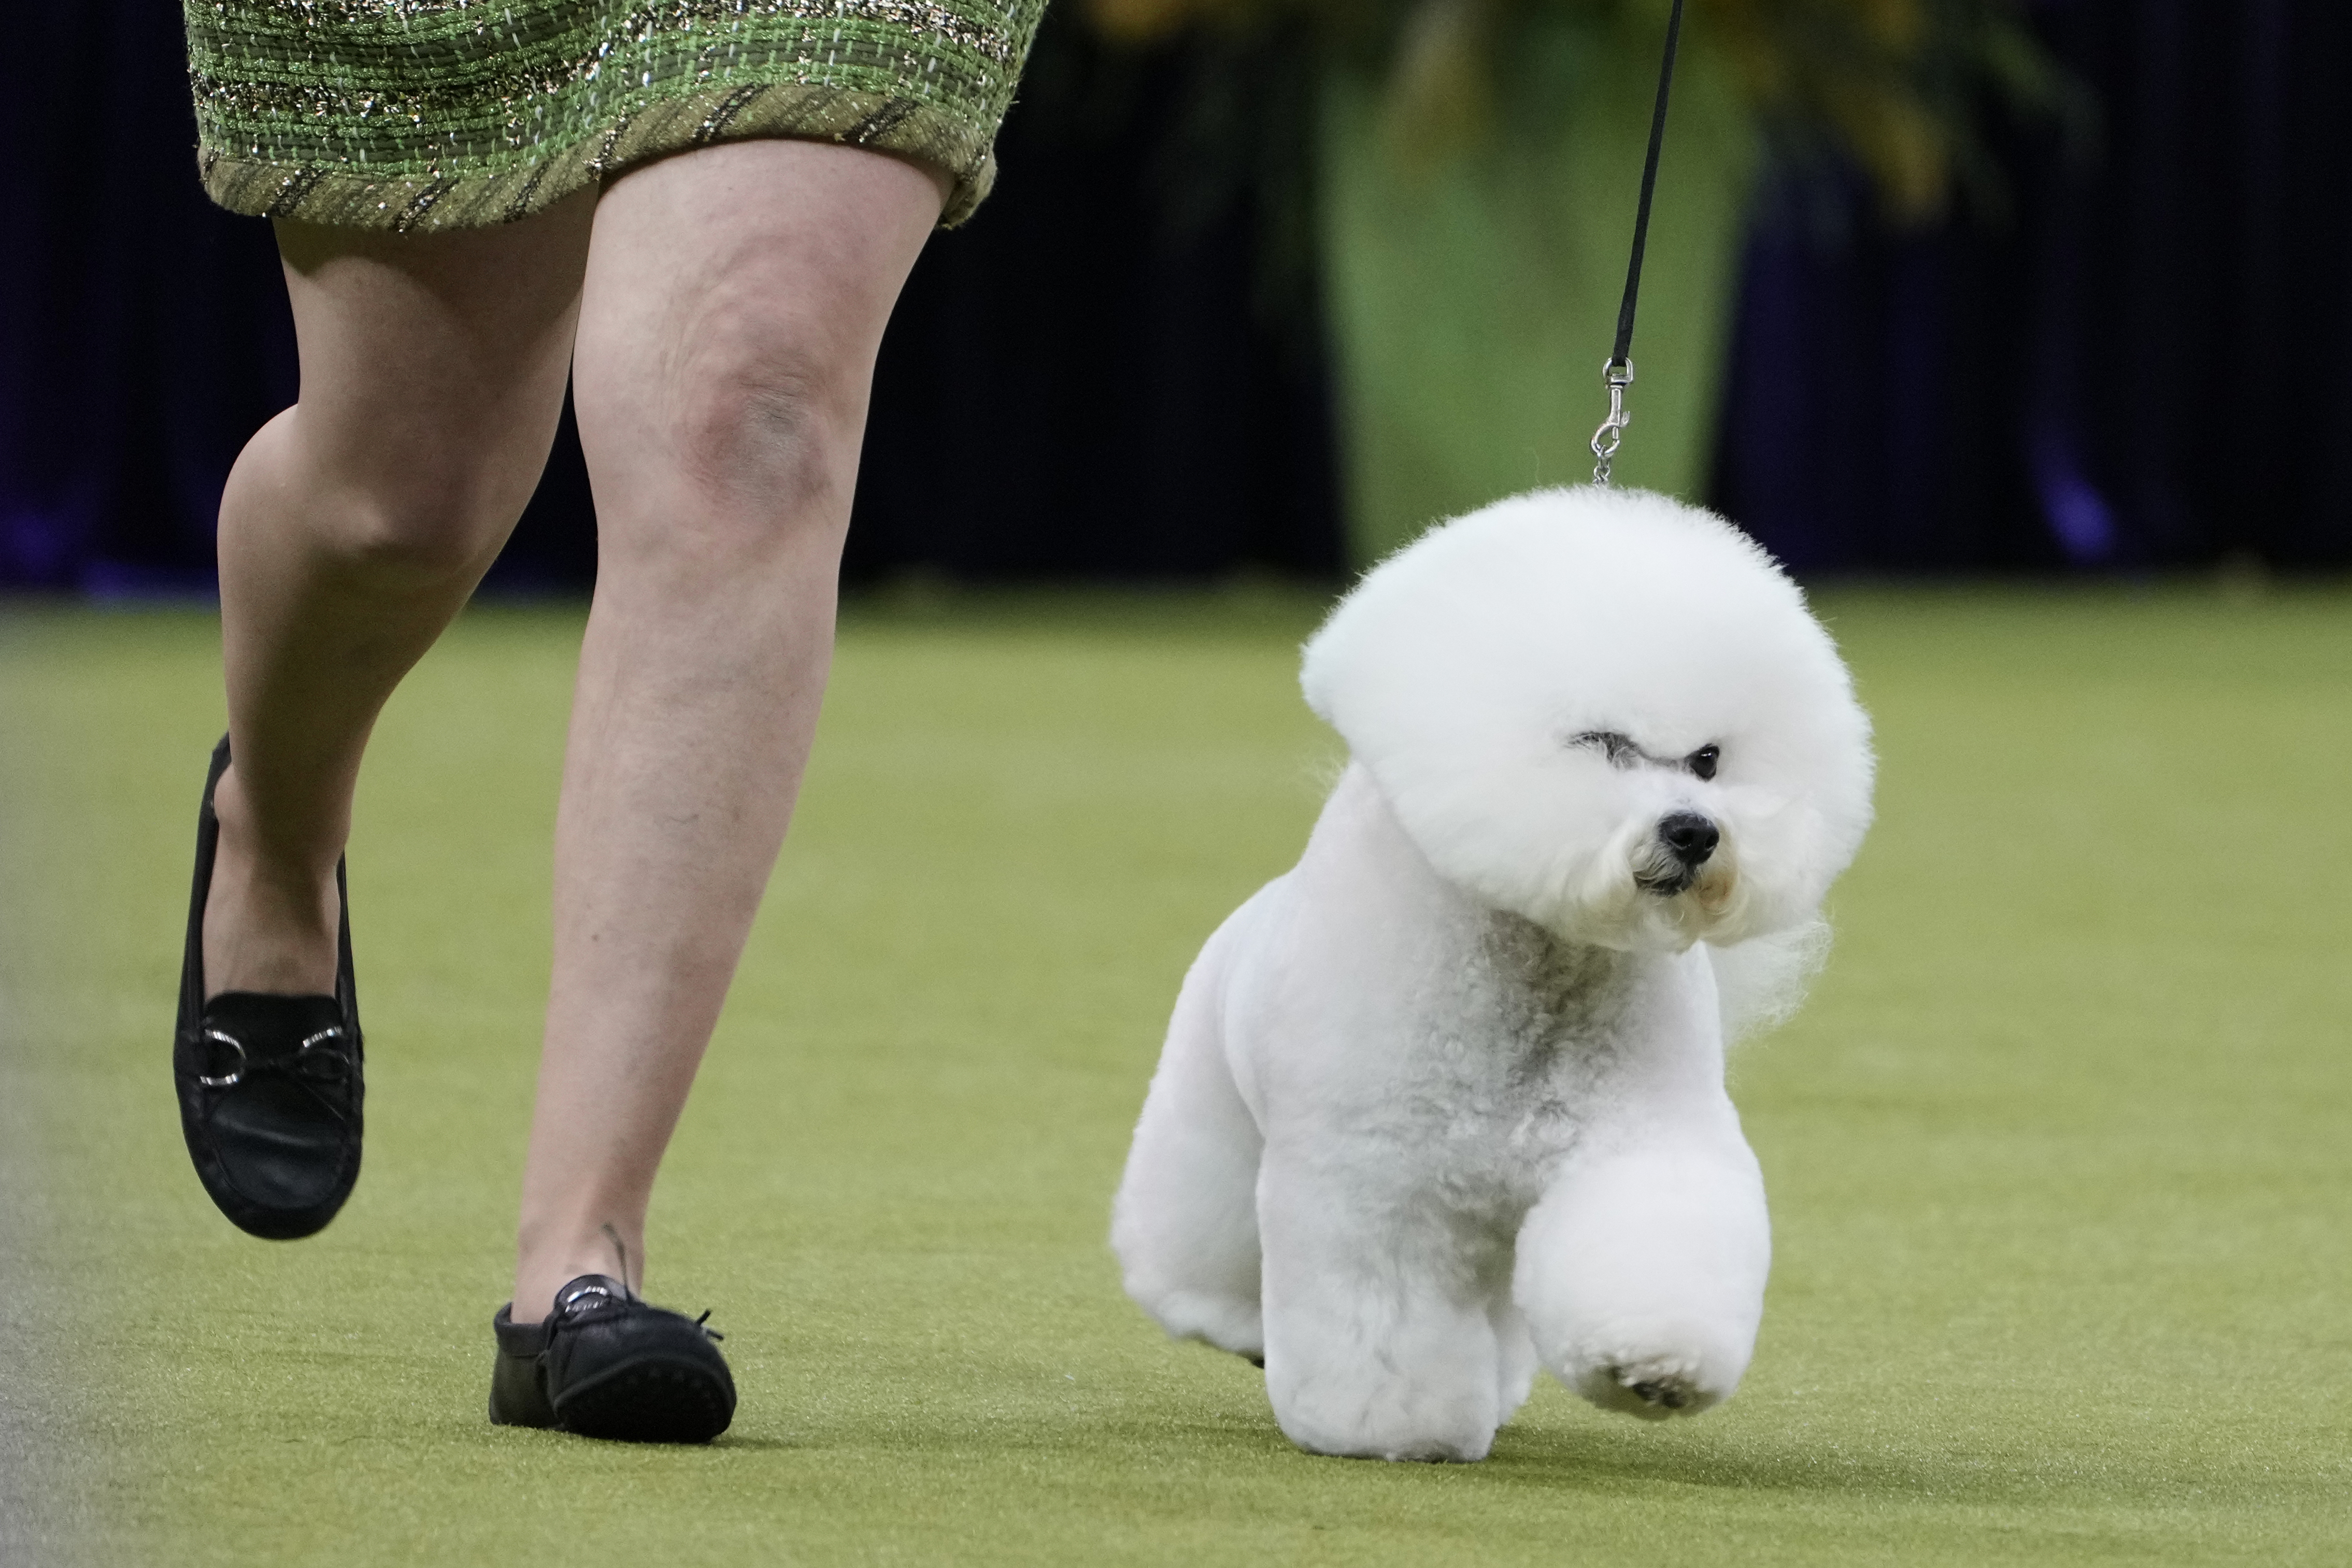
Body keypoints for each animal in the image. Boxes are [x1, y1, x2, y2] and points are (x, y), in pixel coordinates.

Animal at [1105, 487, 1872, 1457]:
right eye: (1600, 743)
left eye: (1708, 759)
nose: (1695, 831)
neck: (1540, 970)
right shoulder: (1376, 1178)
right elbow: (1382, 1315)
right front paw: (1388, 1426)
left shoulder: (1637, 1141)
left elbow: (1648, 1238)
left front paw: (1654, 1365)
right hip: (1209, 1122)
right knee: (1198, 1244)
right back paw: (1229, 1320)